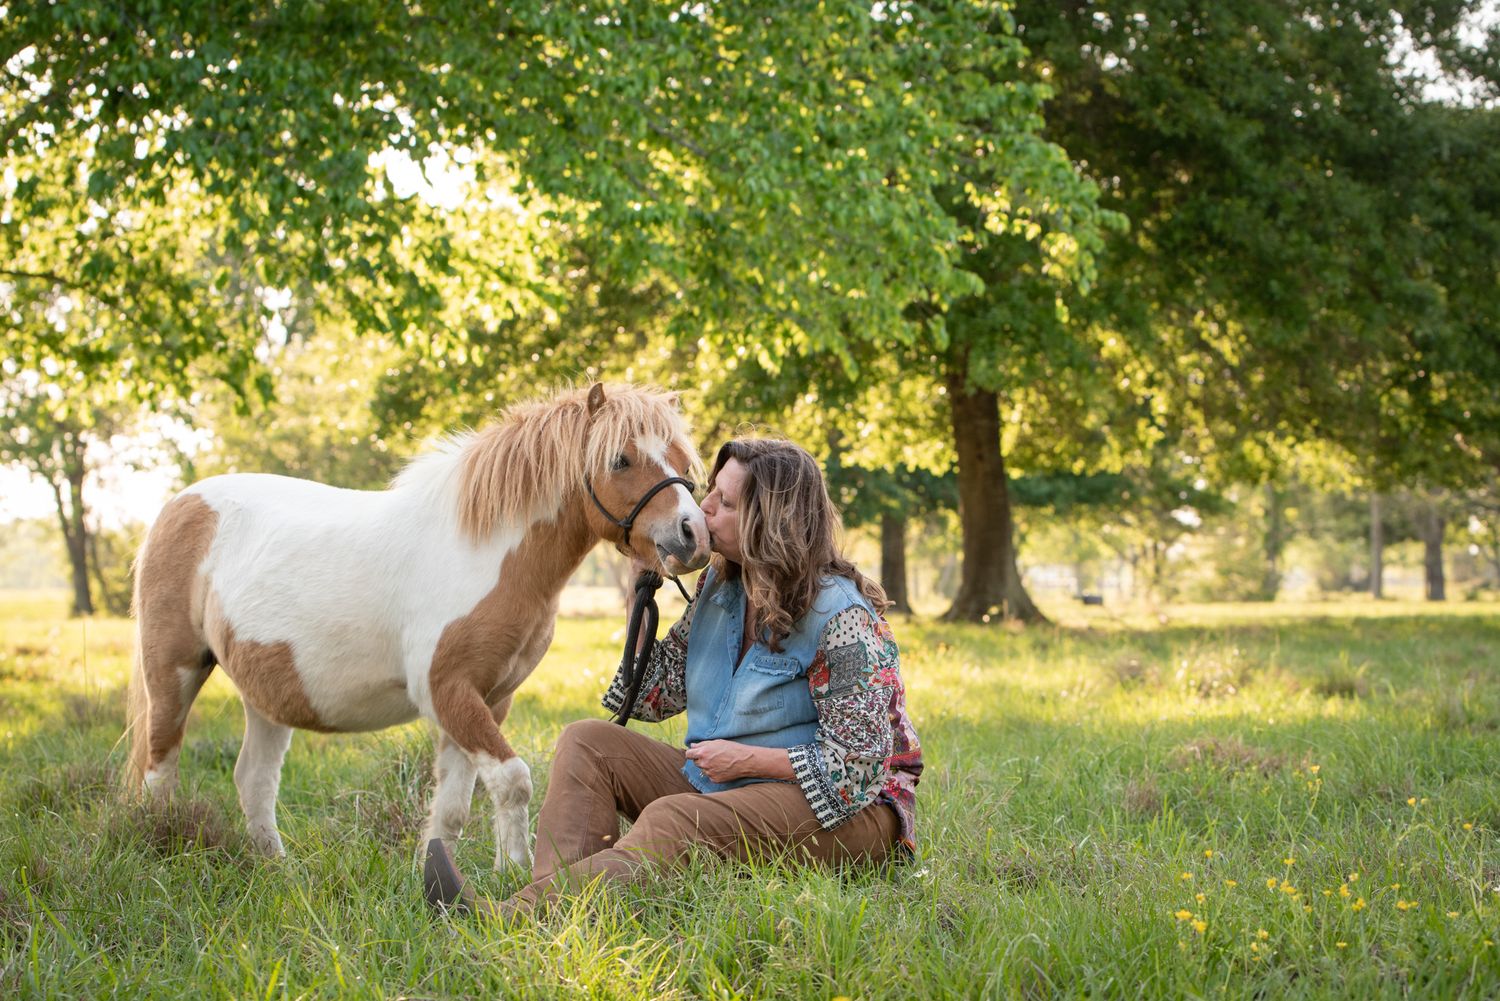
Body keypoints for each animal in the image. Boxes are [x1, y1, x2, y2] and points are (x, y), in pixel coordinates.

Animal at [124, 382, 710, 869]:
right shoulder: (447, 692)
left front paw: (444, 879)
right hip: (173, 672)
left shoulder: (488, 700)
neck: (483, 552)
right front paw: (517, 871)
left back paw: (278, 868)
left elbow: (454, 806)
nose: (692, 536)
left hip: (266, 695)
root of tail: (180, 505)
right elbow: (513, 781)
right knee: (161, 764)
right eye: (620, 459)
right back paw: (162, 849)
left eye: (684, 461)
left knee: (253, 780)